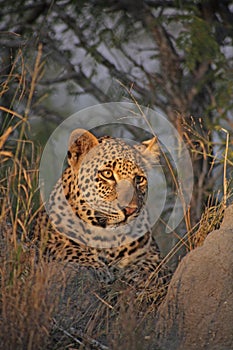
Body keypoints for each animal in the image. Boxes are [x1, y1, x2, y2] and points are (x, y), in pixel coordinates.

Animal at [32, 127, 171, 296]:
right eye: (107, 174)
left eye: (139, 179)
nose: (129, 210)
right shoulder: (45, 243)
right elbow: (69, 249)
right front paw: (99, 270)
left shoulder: (153, 254)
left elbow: (153, 266)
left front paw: (138, 274)